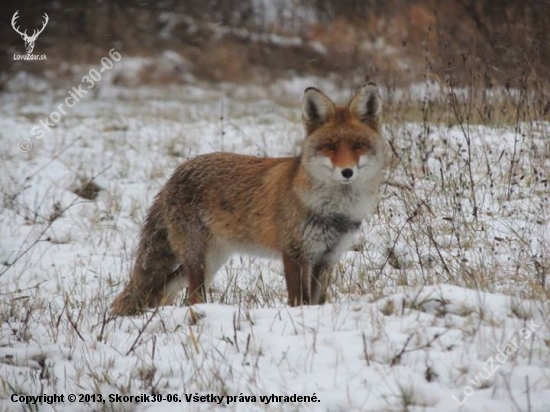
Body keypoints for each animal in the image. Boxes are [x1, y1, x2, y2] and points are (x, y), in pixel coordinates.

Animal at [112, 83, 386, 316]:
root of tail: (175, 174)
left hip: (213, 260)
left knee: (166, 290)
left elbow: (316, 301)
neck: (335, 211)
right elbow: (299, 301)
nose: (347, 172)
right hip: (199, 260)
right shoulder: (295, 254)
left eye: (358, 145)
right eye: (330, 146)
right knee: (190, 297)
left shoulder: (327, 258)